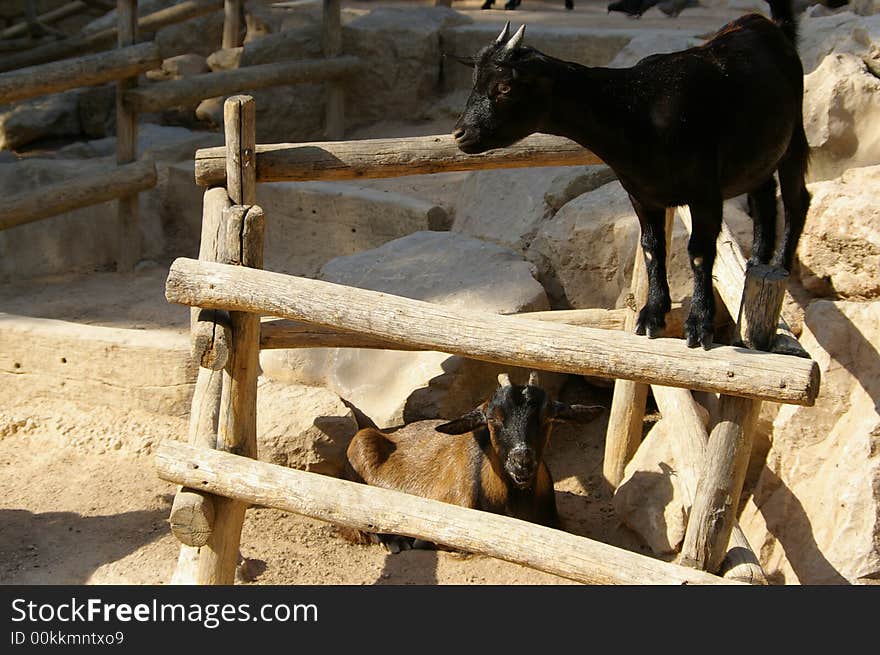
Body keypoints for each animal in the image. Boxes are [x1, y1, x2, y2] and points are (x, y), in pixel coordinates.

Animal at [454, 0, 812, 348]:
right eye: (474, 82)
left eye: (504, 87)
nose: (460, 133)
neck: (637, 111)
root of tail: (772, 26)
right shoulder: (641, 194)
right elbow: (652, 247)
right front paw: (652, 314)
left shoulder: (705, 193)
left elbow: (698, 251)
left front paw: (699, 325)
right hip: (759, 153)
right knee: (764, 195)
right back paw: (757, 262)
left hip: (795, 135)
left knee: (797, 199)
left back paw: (779, 264)